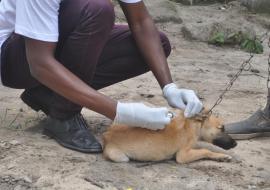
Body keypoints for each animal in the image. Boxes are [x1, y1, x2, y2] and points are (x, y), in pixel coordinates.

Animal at [102, 110, 237, 163]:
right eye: (222, 128)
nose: (236, 143)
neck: (193, 125)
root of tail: (107, 135)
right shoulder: (183, 155)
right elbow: (204, 150)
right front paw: (221, 156)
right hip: (120, 157)